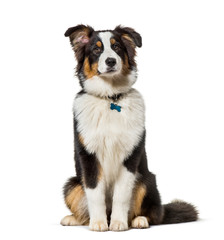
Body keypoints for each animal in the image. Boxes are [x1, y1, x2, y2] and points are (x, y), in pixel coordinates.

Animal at [60, 24, 198, 231]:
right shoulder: (89, 157)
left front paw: (118, 223)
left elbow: (122, 195)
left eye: (117, 47)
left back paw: (139, 220)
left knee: (153, 214)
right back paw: (74, 219)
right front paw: (99, 223)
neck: (110, 98)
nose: (110, 61)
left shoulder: (129, 157)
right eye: (96, 50)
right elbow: (95, 193)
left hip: (146, 180)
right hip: (72, 183)